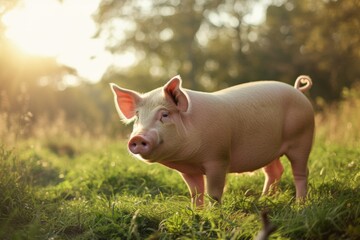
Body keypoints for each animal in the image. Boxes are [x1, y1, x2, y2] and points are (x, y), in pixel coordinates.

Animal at [110, 75, 316, 206]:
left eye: (165, 115)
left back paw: (300, 205)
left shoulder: (218, 159)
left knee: (301, 172)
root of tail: (298, 90)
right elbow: (195, 193)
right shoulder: (188, 170)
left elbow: (213, 193)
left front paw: (213, 213)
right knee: (275, 171)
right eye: (138, 117)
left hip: (303, 138)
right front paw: (196, 212)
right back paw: (264, 200)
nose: (137, 137)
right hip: (270, 151)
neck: (188, 159)